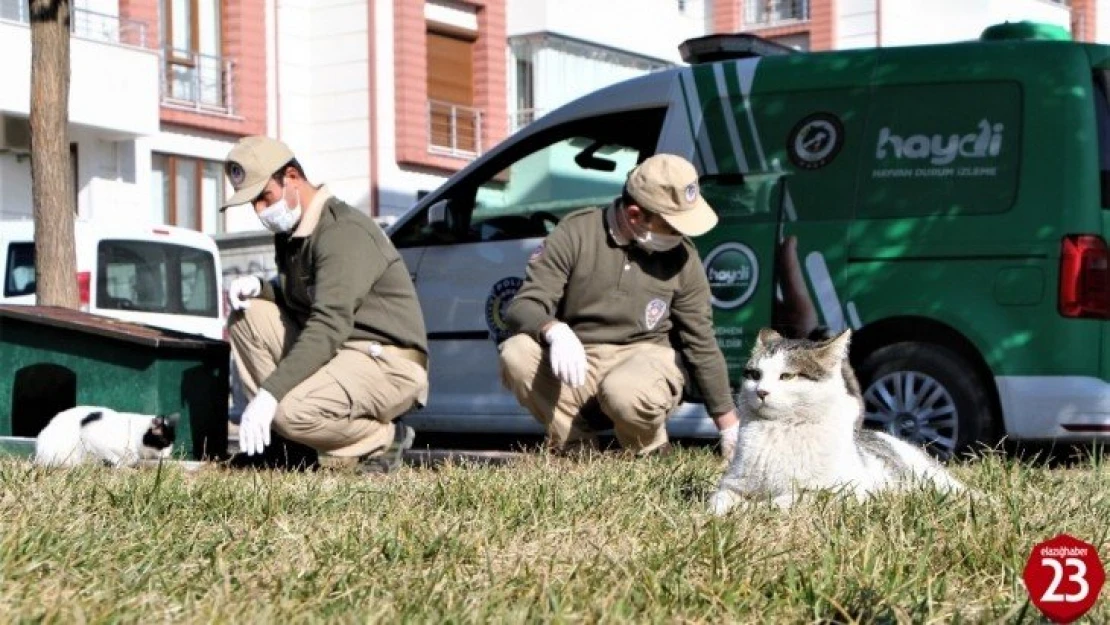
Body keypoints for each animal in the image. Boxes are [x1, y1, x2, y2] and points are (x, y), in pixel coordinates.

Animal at [33, 408, 177, 466]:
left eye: (171, 444)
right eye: (164, 442)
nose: (168, 454)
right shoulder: (90, 435)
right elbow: (120, 457)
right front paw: (120, 463)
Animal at [710, 328, 963, 512]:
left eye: (787, 376)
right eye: (755, 375)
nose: (761, 391)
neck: (778, 428)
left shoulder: (845, 491)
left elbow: (786, 500)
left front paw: (754, 508)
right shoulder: (731, 484)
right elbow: (716, 500)